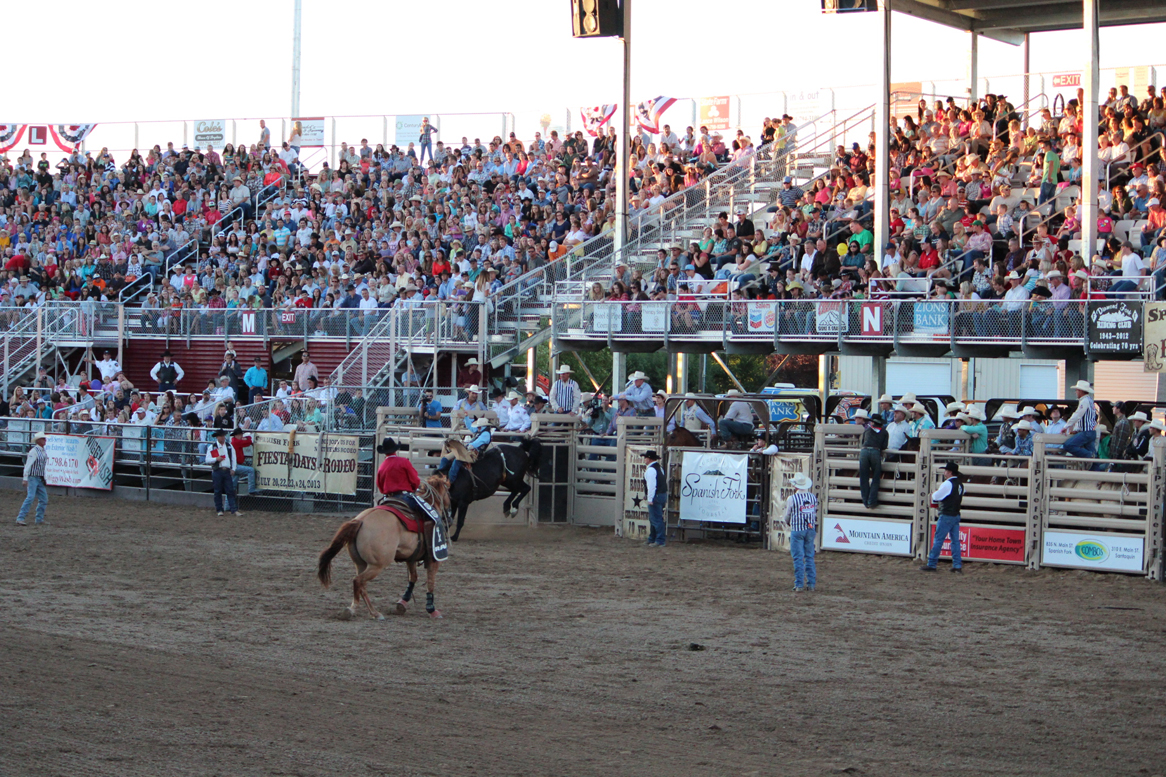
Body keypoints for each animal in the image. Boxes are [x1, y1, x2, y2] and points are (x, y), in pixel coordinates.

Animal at [319, 471, 450, 616]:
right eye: (449, 493)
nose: (449, 517)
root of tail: (361, 521)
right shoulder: (434, 559)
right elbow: (430, 582)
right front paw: (431, 609)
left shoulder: (411, 558)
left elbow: (413, 578)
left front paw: (402, 602)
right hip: (377, 565)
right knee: (358, 581)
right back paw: (365, 611)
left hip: (360, 563)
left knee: (361, 584)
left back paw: (365, 611)